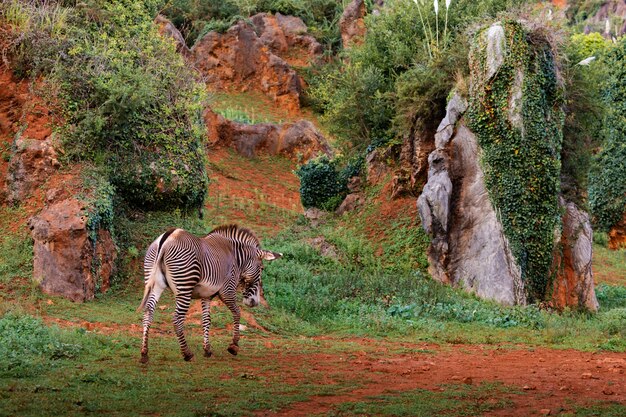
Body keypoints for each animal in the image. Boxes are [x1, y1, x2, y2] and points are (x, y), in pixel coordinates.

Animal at [139, 223, 282, 362]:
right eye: (262, 268)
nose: (255, 302)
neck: (235, 256)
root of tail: (168, 236)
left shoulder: (206, 295)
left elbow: (206, 320)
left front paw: (207, 349)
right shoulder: (227, 291)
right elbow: (237, 313)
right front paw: (234, 346)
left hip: (155, 283)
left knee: (148, 313)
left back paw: (144, 353)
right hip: (184, 286)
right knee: (177, 319)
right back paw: (187, 354)